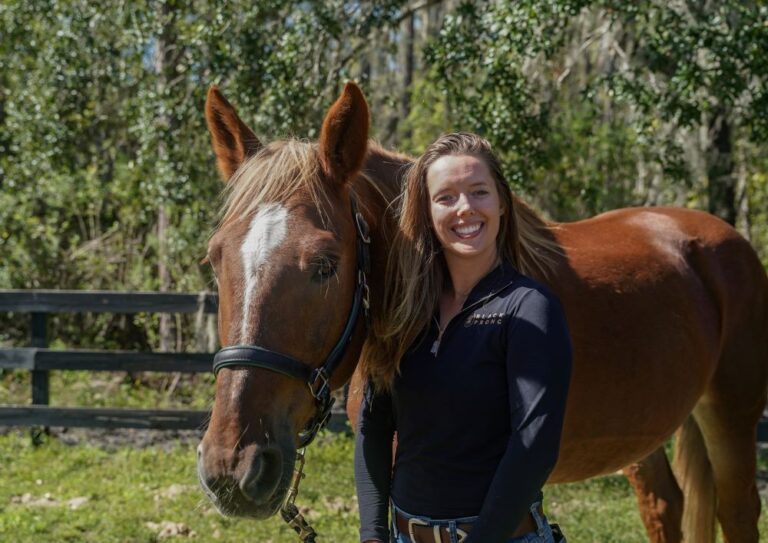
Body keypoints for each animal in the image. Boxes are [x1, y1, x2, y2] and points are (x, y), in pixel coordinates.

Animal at [195, 82, 768, 543]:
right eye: (215, 257)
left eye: (325, 264)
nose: (231, 467)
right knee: (665, 506)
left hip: (731, 418)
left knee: (738, 510)